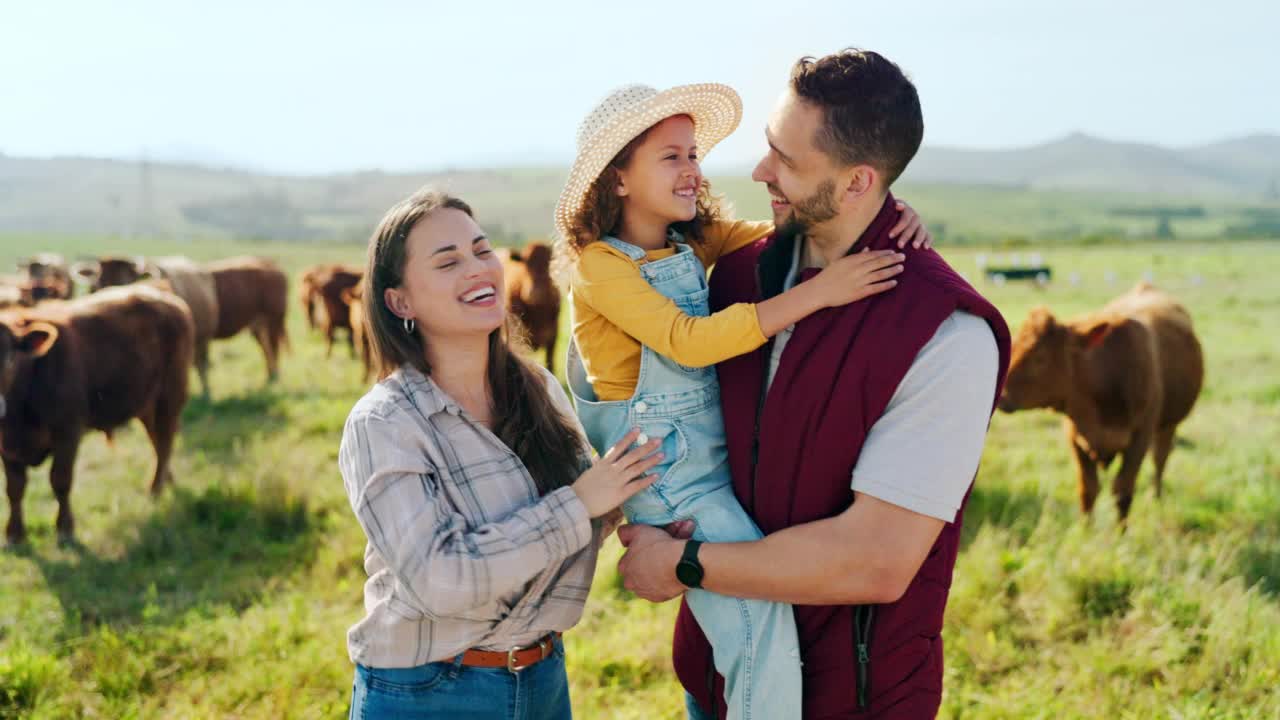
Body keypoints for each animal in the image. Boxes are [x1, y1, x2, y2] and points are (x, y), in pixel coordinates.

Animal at [0, 283, 194, 540]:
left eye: (9, 358)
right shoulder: (7, 446)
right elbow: (14, 488)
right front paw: (14, 533)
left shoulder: (68, 432)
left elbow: (60, 480)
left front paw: (65, 528)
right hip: (146, 404)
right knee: (159, 441)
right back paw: (166, 482)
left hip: (169, 396)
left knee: (163, 442)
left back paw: (155, 489)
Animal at [993, 281, 1203, 520]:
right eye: (1014, 346)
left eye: (1040, 357)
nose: (1001, 396)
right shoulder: (1075, 438)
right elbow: (1088, 490)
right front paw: (1085, 528)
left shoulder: (1139, 439)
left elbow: (1123, 491)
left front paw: (1121, 531)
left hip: (1168, 424)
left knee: (1160, 458)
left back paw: (1155, 497)